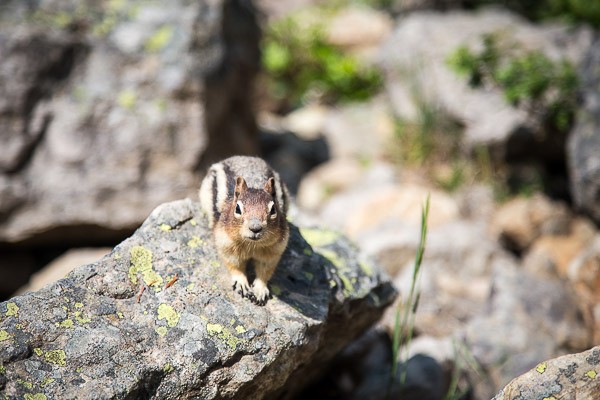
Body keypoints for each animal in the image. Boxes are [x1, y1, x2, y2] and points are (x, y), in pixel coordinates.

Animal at [198, 156, 290, 306]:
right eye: (238, 208)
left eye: (273, 210)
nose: (255, 228)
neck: (252, 245)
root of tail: (245, 157)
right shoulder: (226, 244)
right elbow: (234, 266)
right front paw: (241, 284)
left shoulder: (274, 251)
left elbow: (265, 271)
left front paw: (260, 290)